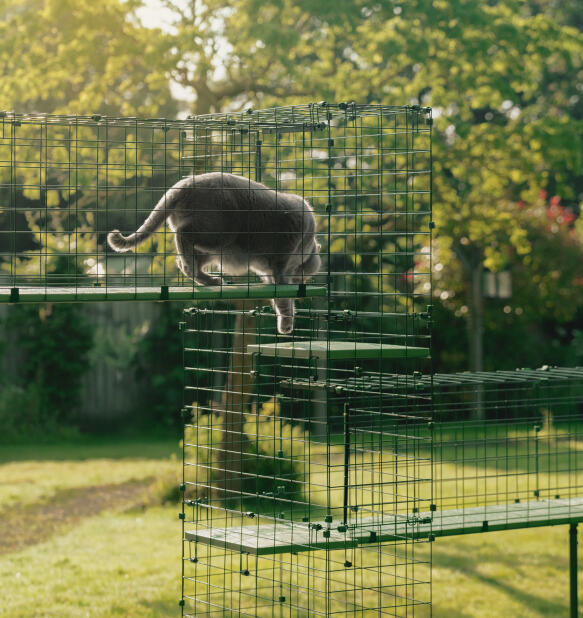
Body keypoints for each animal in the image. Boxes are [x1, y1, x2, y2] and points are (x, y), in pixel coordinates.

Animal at [107, 171, 322, 334]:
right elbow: (285, 302)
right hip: (221, 233)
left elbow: (279, 301)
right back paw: (203, 273)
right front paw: (286, 325)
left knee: (184, 262)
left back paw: (210, 279)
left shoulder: (271, 275)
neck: (307, 244)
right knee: (182, 235)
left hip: (215, 247)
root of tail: (184, 184)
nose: (299, 280)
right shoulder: (280, 266)